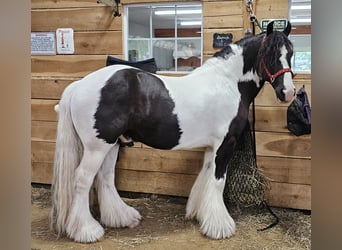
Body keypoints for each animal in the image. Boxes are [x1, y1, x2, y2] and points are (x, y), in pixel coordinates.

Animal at [50, 21, 296, 242]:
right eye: (270, 53)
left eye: (291, 53)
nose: (288, 92)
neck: (227, 83)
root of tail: (80, 85)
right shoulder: (225, 144)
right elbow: (218, 181)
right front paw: (220, 227)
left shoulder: (212, 147)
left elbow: (205, 176)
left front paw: (200, 215)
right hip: (97, 146)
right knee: (82, 180)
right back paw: (86, 231)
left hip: (112, 144)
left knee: (105, 177)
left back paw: (121, 217)